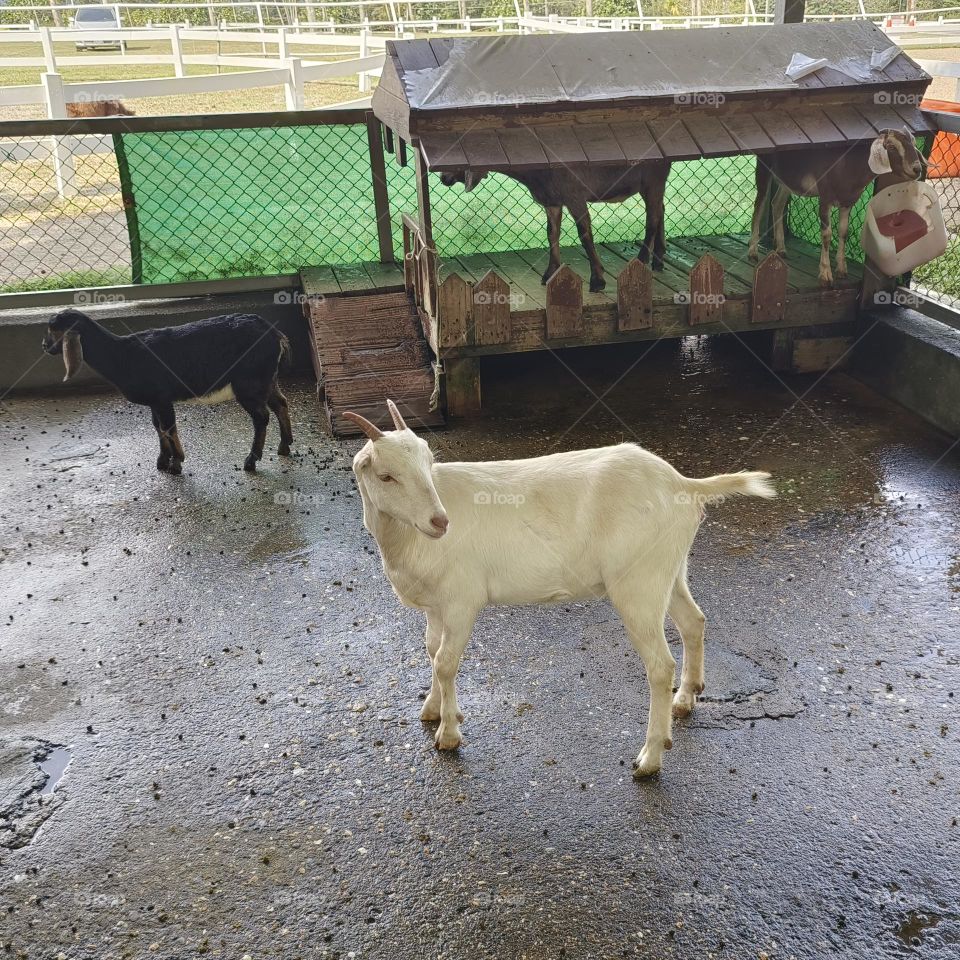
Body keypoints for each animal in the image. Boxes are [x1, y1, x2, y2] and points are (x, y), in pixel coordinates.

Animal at [42, 309, 292, 474]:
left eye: (54, 329)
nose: (44, 346)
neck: (120, 355)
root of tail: (276, 334)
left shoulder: (162, 398)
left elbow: (169, 427)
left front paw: (176, 463)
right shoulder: (155, 401)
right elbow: (158, 427)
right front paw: (163, 460)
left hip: (248, 382)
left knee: (261, 417)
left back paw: (251, 461)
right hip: (267, 379)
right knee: (280, 403)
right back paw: (285, 446)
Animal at [346, 400, 775, 778]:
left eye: (428, 464)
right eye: (386, 476)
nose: (440, 522)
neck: (404, 539)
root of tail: (682, 484)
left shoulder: (461, 600)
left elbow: (445, 662)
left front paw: (448, 734)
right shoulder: (436, 605)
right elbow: (432, 650)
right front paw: (432, 710)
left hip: (638, 583)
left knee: (659, 665)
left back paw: (650, 758)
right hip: (668, 570)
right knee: (693, 621)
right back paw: (686, 699)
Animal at [439, 162, 672, 293]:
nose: (443, 178)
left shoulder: (574, 195)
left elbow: (584, 234)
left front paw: (597, 280)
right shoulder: (552, 200)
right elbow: (552, 233)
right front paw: (550, 273)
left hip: (653, 178)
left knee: (652, 218)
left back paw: (642, 261)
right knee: (660, 209)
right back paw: (658, 259)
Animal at [748, 129, 923, 285]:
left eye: (914, 144)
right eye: (891, 147)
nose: (917, 169)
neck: (848, 166)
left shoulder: (847, 203)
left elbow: (843, 232)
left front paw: (841, 270)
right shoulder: (825, 198)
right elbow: (826, 234)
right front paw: (825, 274)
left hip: (787, 180)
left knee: (777, 203)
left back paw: (781, 249)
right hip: (764, 167)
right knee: (759, 205)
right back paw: (753, 252)